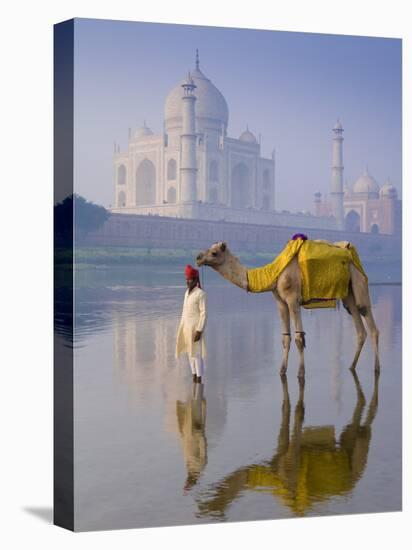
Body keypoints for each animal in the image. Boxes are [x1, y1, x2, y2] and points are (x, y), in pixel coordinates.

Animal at [196, 243, 380, 380]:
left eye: (214, 252)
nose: (198, 257)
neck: (272, 275)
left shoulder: (292, 299)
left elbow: (299, 338)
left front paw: (301, 373)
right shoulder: (280, 302)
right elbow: (286, 338)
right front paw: (282, 371)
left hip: (359, 280)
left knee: (369, 321)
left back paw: (377, 368)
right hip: (348, 293)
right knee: (359, 326)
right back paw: (351, 366)